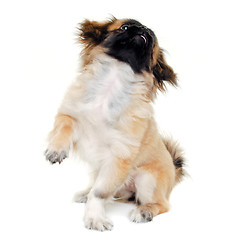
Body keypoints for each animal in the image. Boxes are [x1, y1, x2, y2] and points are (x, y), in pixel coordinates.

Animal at [44, 16, 184, 231]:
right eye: (124, 27)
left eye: (152, 41)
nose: (143, 30)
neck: (113, 81)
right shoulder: (69, 114)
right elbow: (64, 126)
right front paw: (56, 149)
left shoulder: (118, 158)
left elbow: (100, 193)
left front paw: (95, 218)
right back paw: (85, 193)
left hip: (147, 180)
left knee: (161, 204)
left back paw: (145, 211)